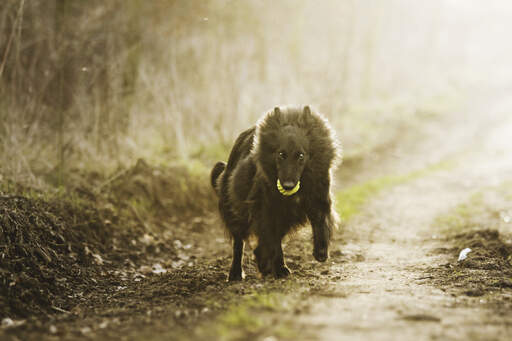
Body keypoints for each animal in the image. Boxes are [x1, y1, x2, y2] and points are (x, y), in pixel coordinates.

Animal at [210, 105, 342, 278]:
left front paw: (321, 251)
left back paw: (264, 266)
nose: (288, 186)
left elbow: (321, 221)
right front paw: (280, 268)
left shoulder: (318, 197)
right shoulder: (268, 209)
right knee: (239, 243)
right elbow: (273, 241)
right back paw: (236, 273)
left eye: (301, 155)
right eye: (281, 154)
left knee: (260, 247)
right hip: (237, 214)